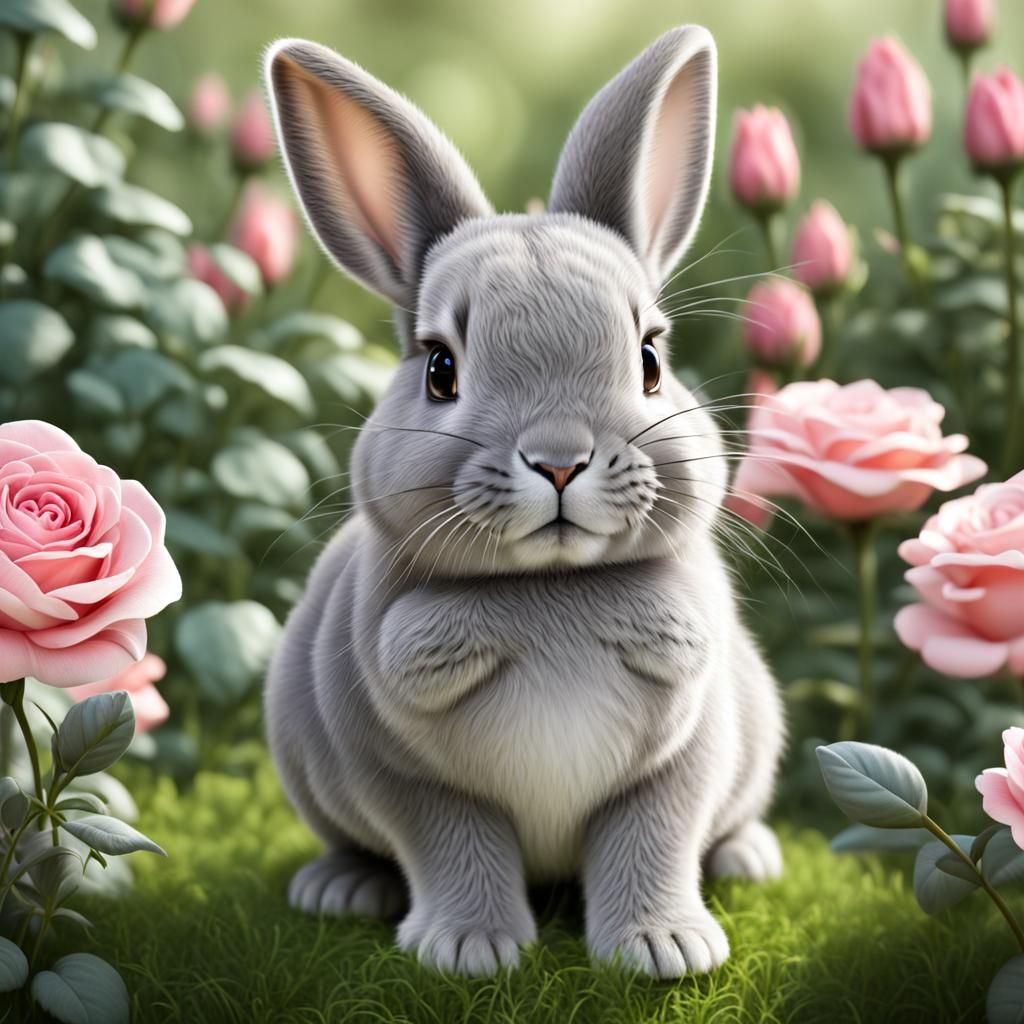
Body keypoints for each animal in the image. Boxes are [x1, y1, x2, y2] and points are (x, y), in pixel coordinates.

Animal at [262, 24, 785, 979]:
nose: (560, 461)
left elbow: (653, 839)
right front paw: (470, 951)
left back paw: (747, 857)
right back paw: (339, 888)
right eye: (440, 369)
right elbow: (451, 847)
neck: (549, 590)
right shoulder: (405, 775)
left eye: (649, 360)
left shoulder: (682, 761)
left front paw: (663, 950)